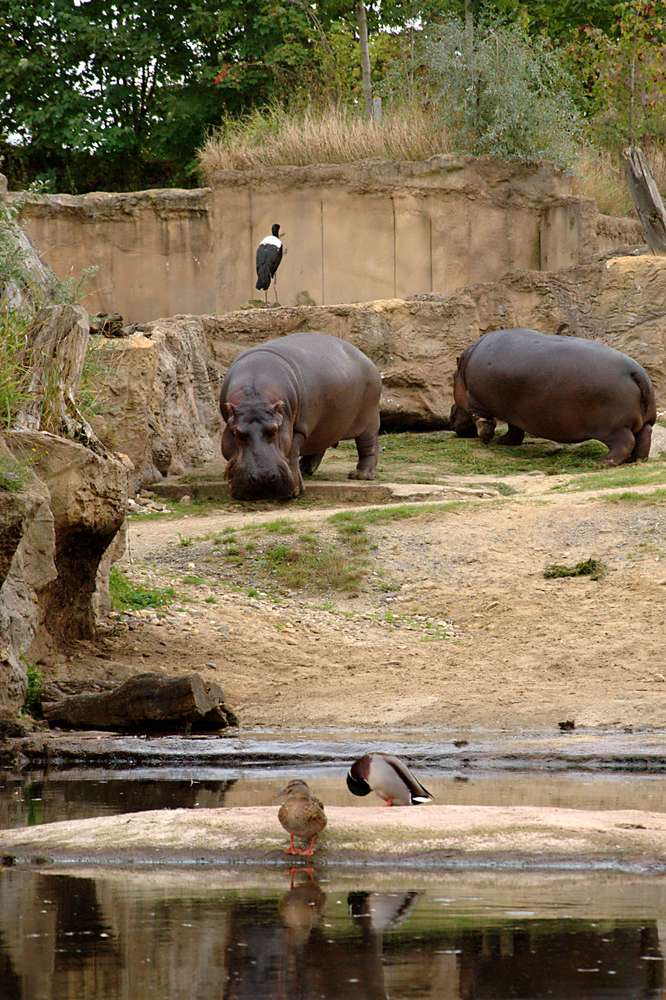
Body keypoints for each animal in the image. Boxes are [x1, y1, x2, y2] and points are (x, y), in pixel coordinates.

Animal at [220, 332, 382, 500]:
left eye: (275, 429)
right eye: (237, 433)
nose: (262, 478)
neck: (255, 397)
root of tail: (365, 357)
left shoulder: (299, 429)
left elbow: (292, 450)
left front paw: (294, 490)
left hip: (369, 419)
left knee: (368, 446)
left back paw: (360, 475)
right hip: (323, 426)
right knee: (319, 445)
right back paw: (305, 470)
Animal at [452, 330, 652, 466]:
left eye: (452, 378)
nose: (451, 416)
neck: (464, 368)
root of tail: (635, 371)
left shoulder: (477, 403)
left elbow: (484, 422)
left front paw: (486, 439)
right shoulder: (514, 411)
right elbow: (514, 429)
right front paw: (504, 441)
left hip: (612, 428)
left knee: (625, 442)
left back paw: (603, 462)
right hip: (643, 423)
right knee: (644, 438)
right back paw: (636, 460)